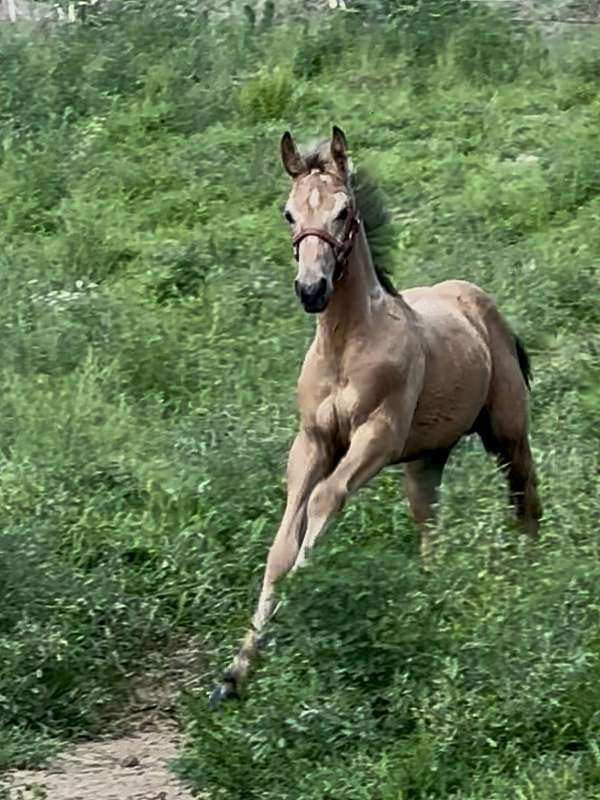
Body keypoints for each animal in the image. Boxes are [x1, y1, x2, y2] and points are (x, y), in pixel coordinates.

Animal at [209, 126, 542, 707]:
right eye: (288, 213)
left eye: (343, 211)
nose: (311, 289)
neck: (346, 346)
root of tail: (480, 302)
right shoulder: (312, 442)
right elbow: (281, 543)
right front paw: (235, 671)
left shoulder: (377, 437)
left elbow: (324, 501)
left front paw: (301, 596)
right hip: (425, 461)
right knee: (430, 529)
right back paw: (432, 604)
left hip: (505, 431)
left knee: (525, 497)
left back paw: (533, 578)